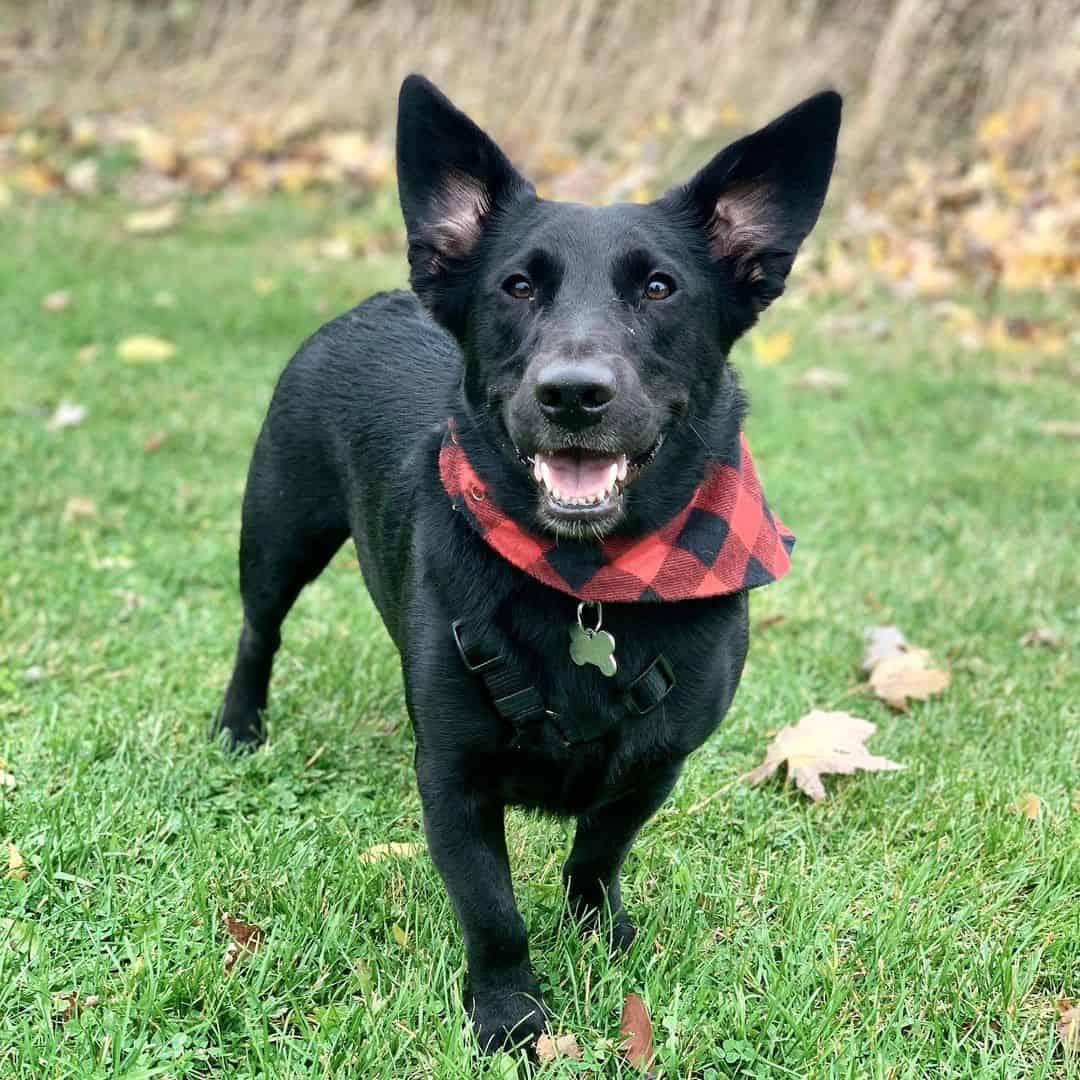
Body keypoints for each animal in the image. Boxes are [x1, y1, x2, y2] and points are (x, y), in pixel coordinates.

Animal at [219, 78, 838, 1054]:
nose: (573, 393)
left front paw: (598, 931)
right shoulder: (454, 780)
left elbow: (598, 851)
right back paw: (240, 727)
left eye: (659, 287)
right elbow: (493, 911)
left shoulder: (655, 765)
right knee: (259, 632)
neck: (591, 582)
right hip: (279, 532)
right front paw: (511, 1011)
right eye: (516, 285)